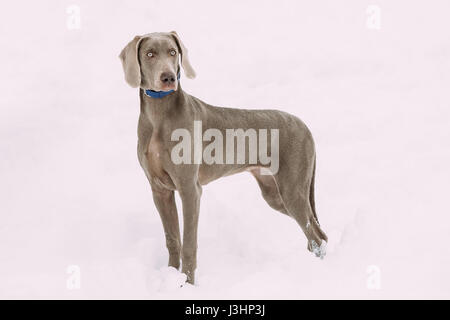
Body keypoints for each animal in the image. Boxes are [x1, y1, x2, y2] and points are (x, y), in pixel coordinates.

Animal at [119, 31, 326, 284]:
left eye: (172, 52)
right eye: (149, 54)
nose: (168, 77)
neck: (159, 114)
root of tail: (304, 124)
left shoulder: (190, 189)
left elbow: (189, 244)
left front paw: (187, 284)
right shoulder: (160, 190)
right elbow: (172, 239)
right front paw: (170, 277)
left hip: (292, 188)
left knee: (315, 235)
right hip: (273, 192)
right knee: (314, 231)